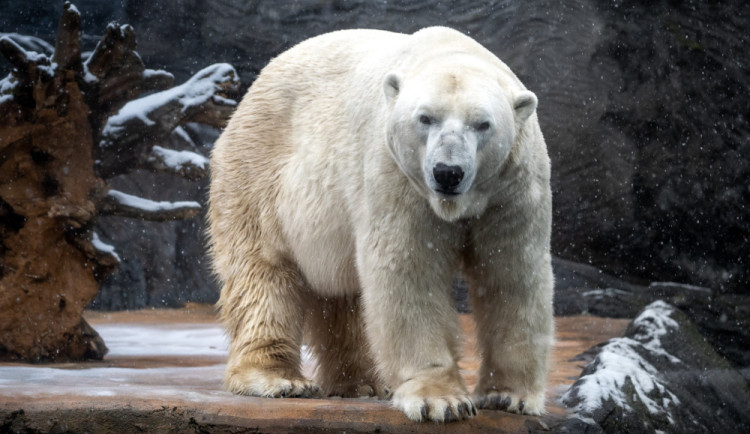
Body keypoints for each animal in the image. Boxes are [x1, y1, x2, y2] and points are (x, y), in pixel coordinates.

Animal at [209, 25, 556, 422]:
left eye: (483, 124)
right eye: (425, 118)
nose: (447, 172)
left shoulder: (511, 188)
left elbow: (510, 274)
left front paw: (509, 396)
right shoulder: (396, 175)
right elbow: (409, 270)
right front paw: (441, 400)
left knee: (342, 292)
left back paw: (364, 383)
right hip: (258, 172)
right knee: (263, 274)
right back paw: (278, 379)